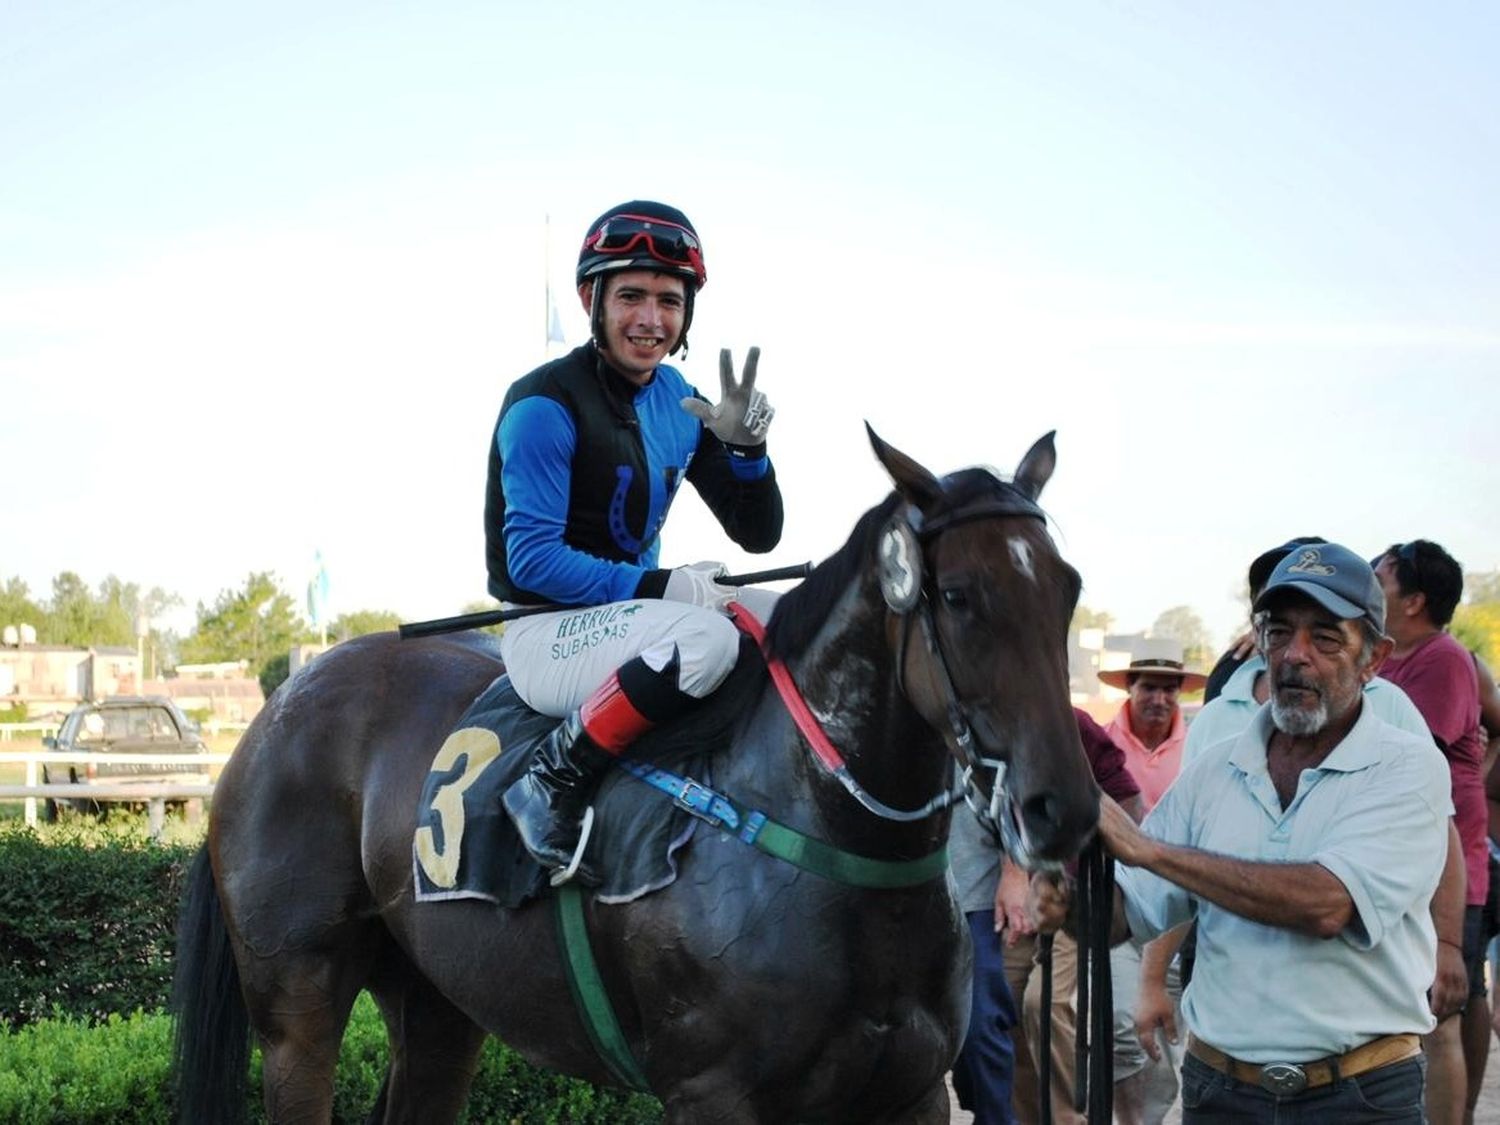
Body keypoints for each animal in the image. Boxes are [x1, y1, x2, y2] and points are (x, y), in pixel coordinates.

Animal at [175, 426, 1098, 1122]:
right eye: (959, 595)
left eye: (1068, 586)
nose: (1062, 807)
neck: (822, 829)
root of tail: (277, 707)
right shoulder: (712, 1092)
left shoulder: (911, 1092)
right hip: (296, 1005)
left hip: (438, 1004)